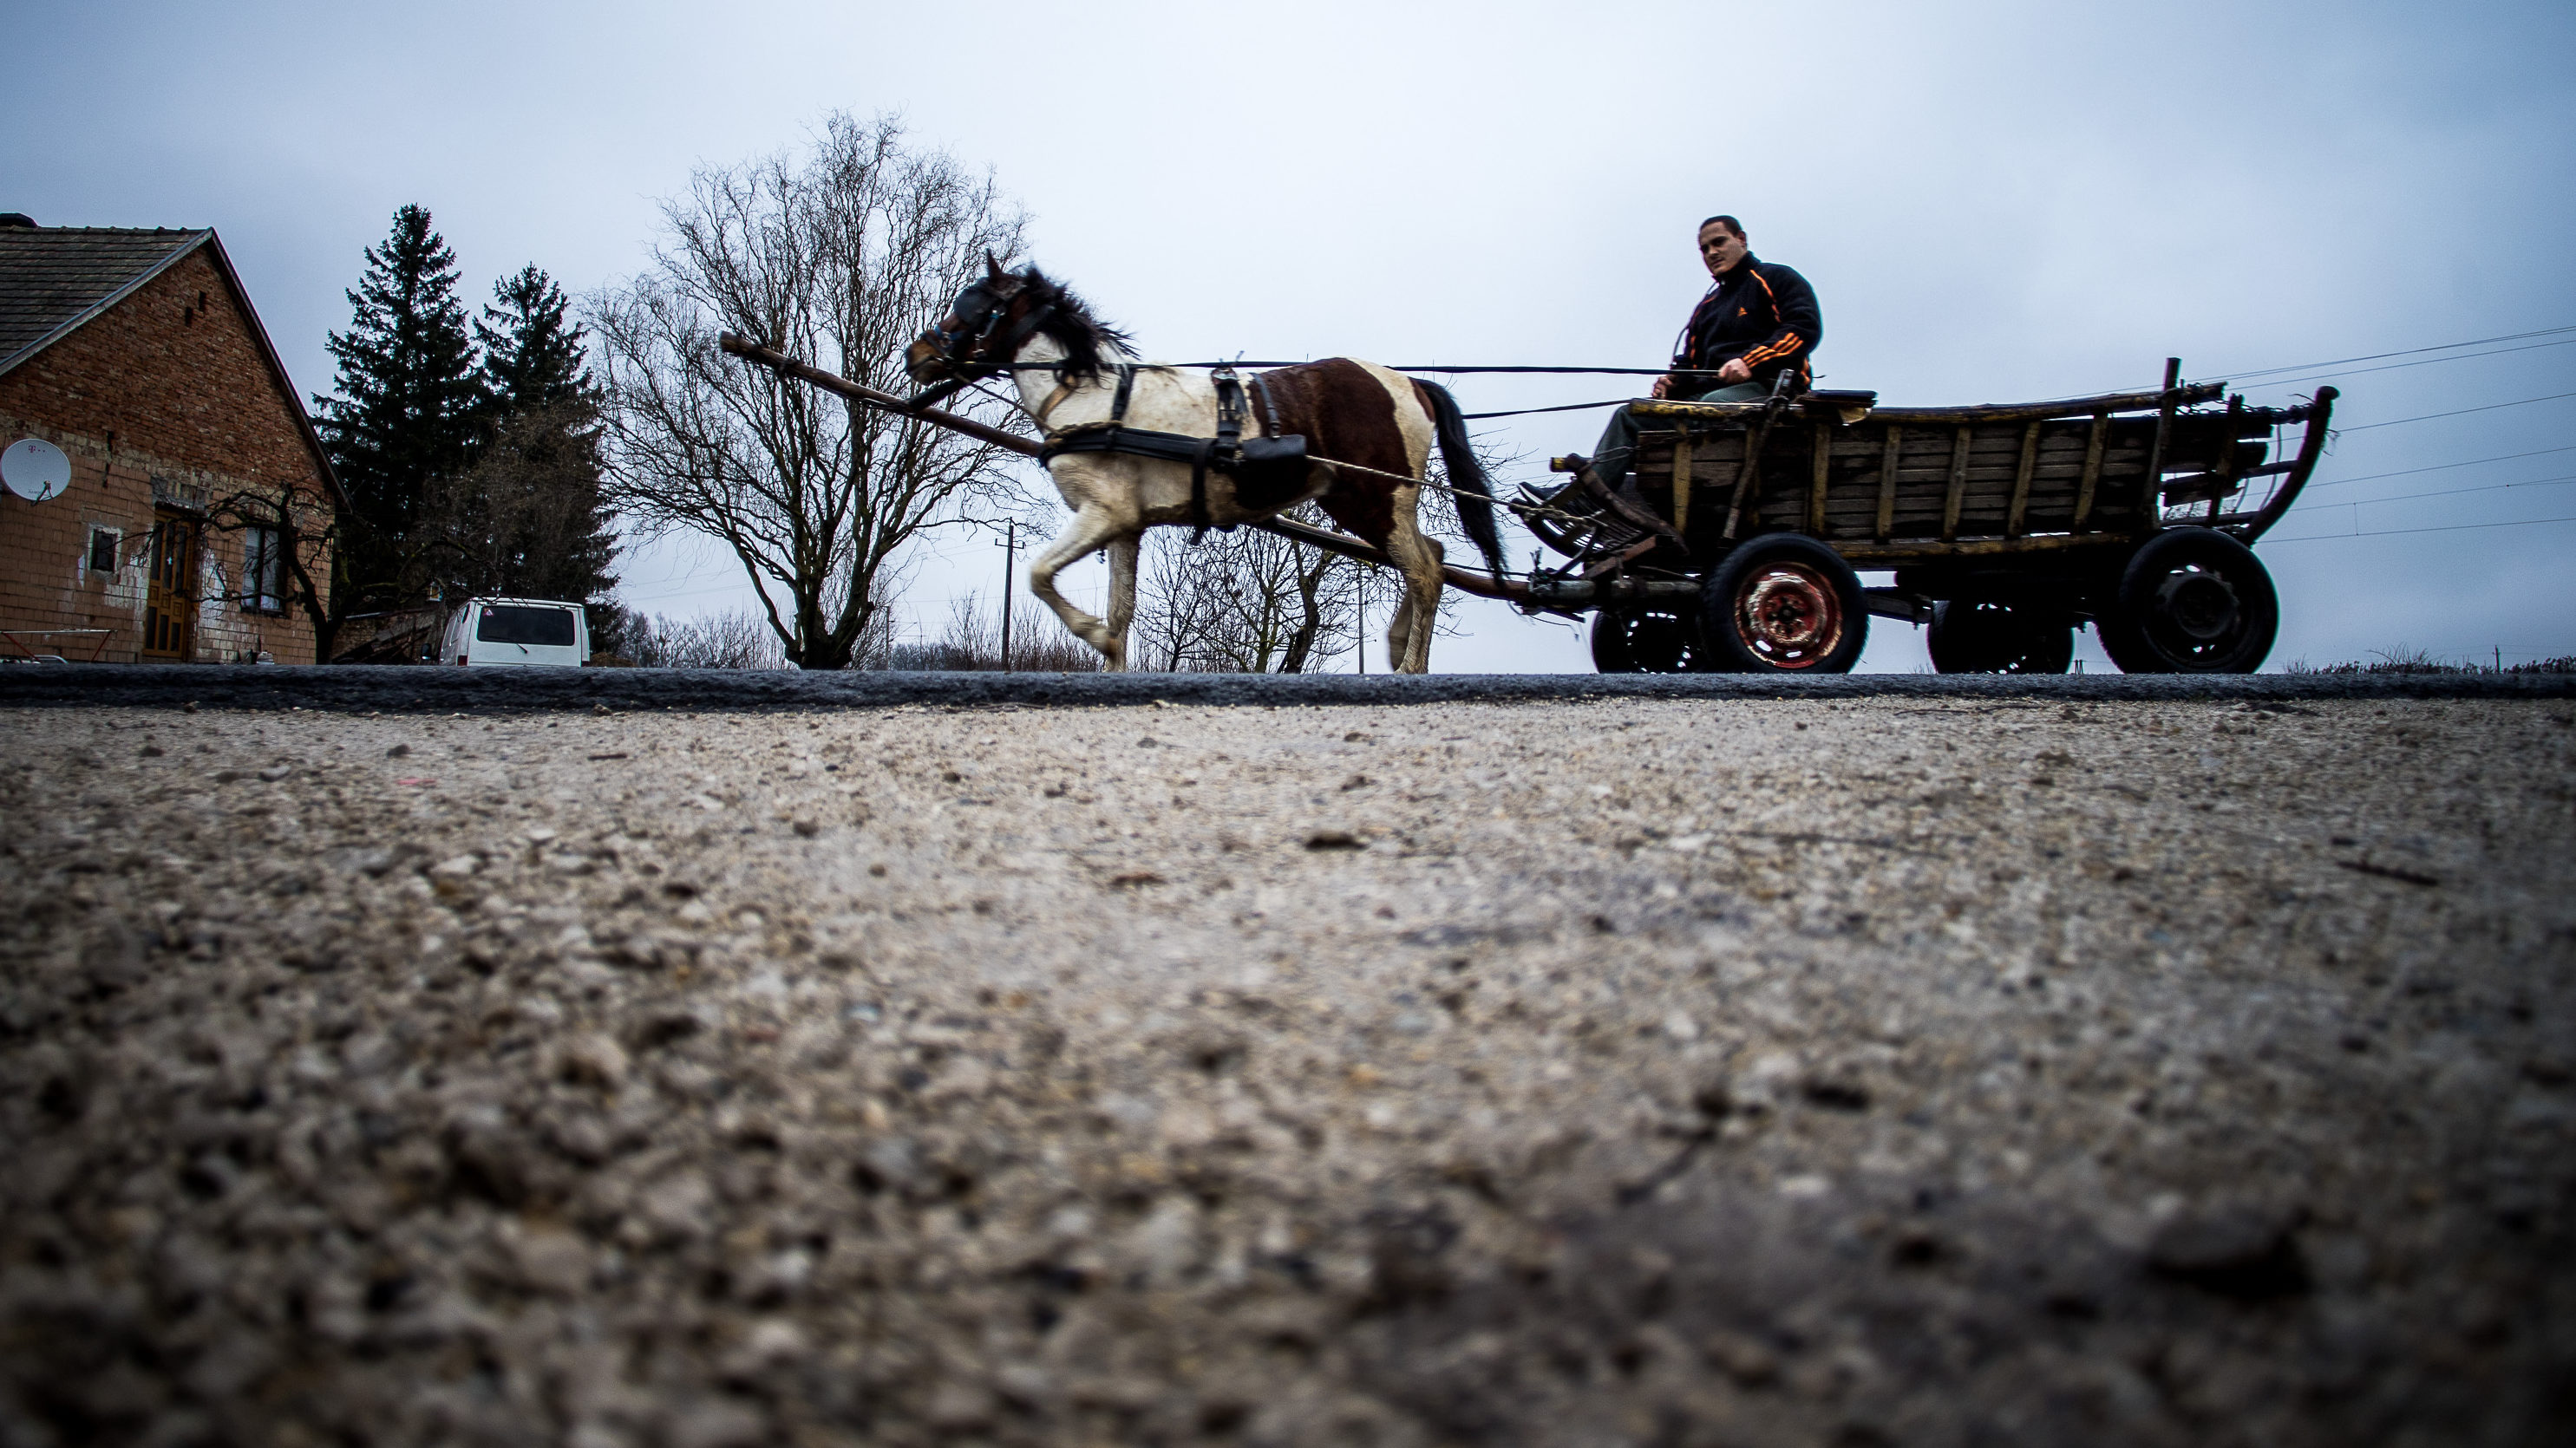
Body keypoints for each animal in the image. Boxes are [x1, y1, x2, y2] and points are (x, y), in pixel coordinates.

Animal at [912, 258, 1504, 669]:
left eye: (971, 302)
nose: (916, 355)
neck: (1092, 398)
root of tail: (1408, 382)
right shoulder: (1125, 526)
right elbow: (1122, 611)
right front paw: (1113, 664)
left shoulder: (1102, 514)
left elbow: (1039, 575)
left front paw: (1091, 633)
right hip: (1370, 505)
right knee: (1432, 555)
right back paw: (1400, 644)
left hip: (1372, 499)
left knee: (1425, 571)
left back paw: (1410, 666)